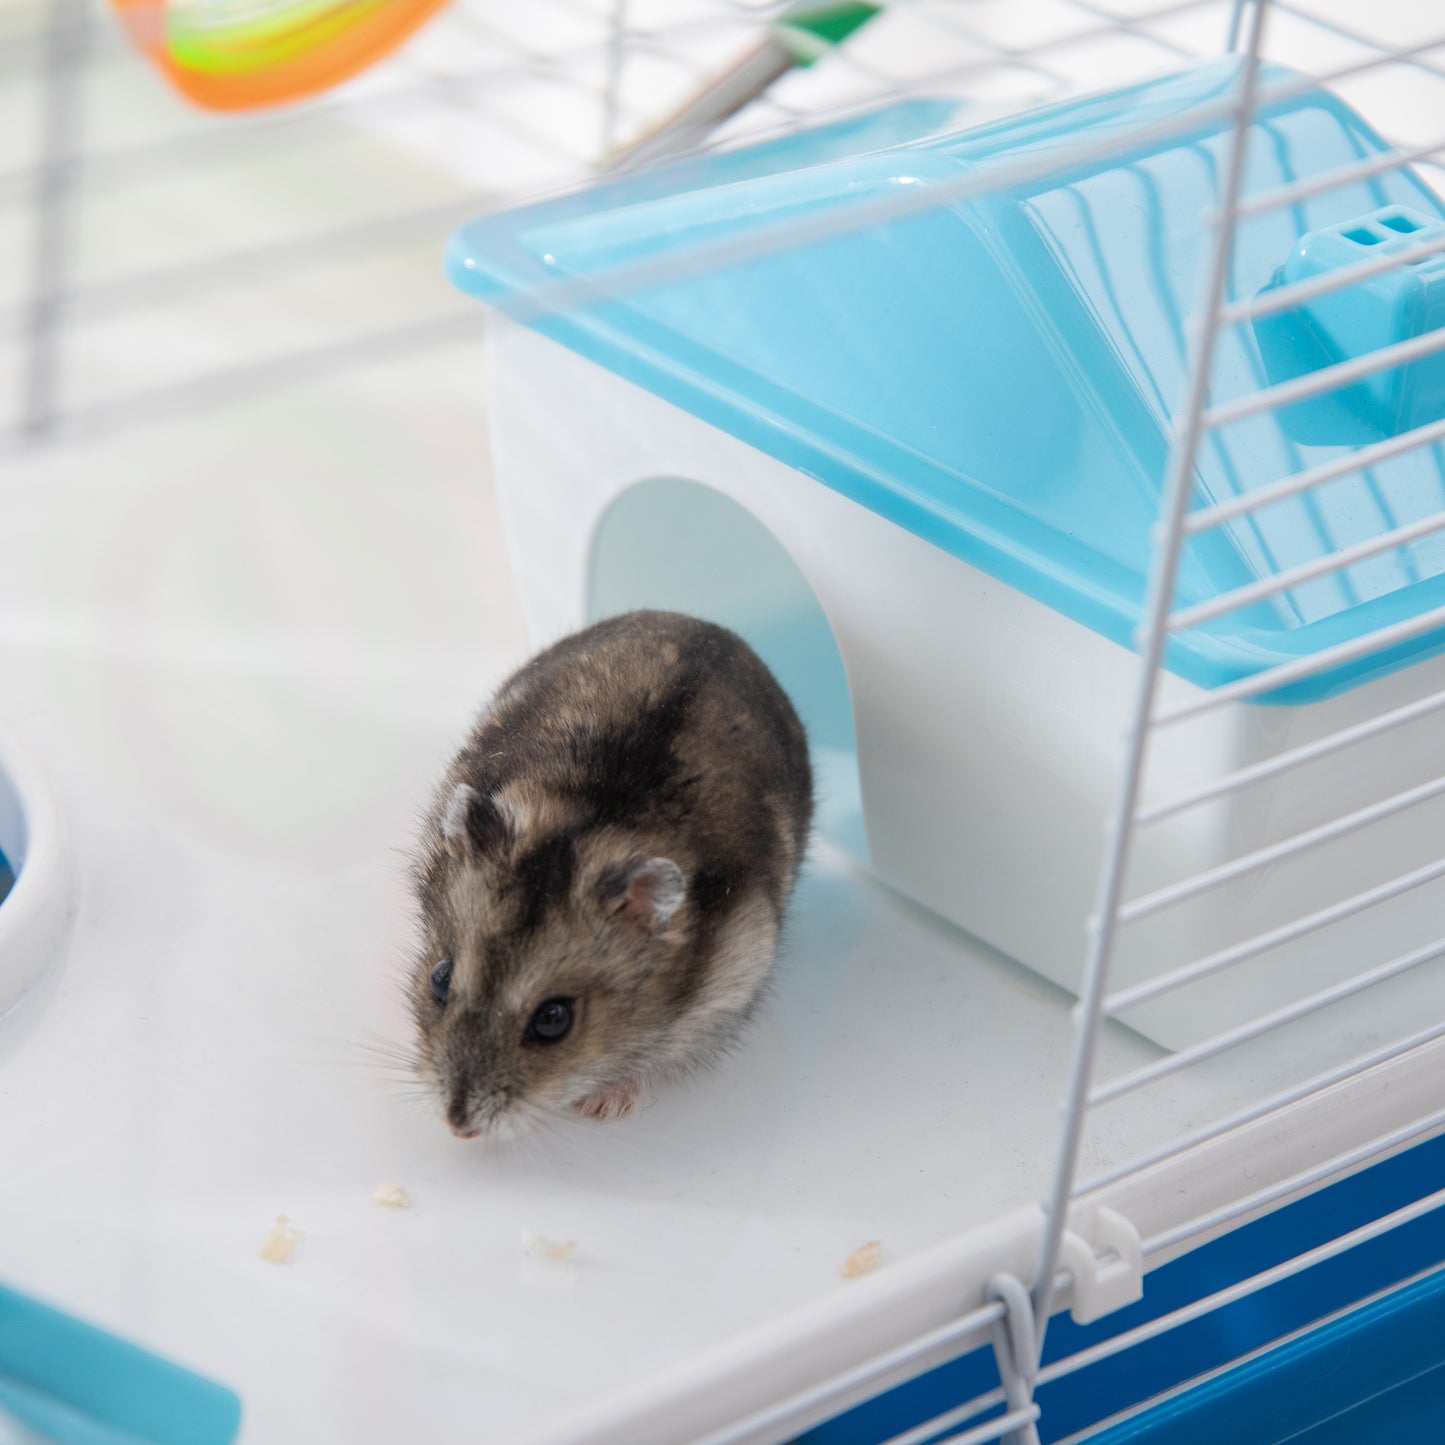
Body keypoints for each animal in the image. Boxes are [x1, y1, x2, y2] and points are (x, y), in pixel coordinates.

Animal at [408, 610, 813, 1140]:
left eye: (554, 1020)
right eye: (440, 978)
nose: (458, 1128)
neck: (592, 821)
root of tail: (713, 626)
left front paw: (603, 1107)